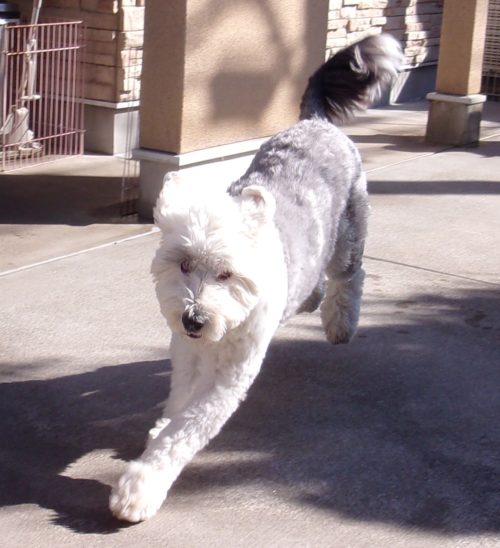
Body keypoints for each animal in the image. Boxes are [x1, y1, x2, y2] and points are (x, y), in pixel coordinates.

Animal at [109, 33, 403, 522]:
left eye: (227, 274)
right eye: (183, 264)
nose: (193, 319)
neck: (221, 330)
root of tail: (315, 122)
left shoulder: (231, 376)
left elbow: (187, 428)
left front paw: (141, 487)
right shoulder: (187, 357)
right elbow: (178, 404)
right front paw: (158, 431)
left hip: (349, 233)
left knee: (350, 276)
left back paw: (340, 322)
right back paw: (310, 298)